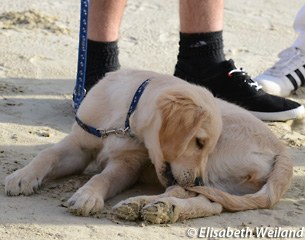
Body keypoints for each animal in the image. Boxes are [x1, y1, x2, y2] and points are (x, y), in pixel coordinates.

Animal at [4, 69, 221, 216]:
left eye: (209, 149)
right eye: (199, 142)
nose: (200, 182)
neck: (125, 119)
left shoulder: (127, 164)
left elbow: (102, 178)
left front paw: (87, 195)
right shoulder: (79, 146)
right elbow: (47, 154)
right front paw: (23, 176)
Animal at [114, 97, 292, 223]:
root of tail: (281, 148)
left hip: (206, 159)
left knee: (182, 190)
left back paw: (154, 206)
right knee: (213, 204)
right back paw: (164, 208)